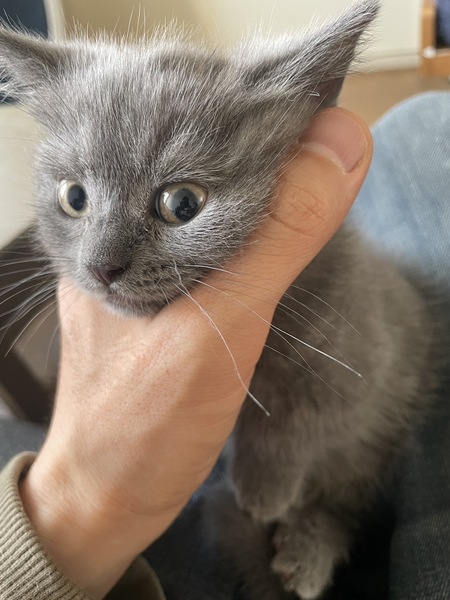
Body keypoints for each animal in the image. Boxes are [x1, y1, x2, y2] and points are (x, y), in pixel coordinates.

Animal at [0, 1, 437, 598]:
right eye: (74, 197)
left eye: (182, 203)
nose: (101, 267)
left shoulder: (359, 354)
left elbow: (296, 417)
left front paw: (263, 490)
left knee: (345, 500)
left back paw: (305, 554)